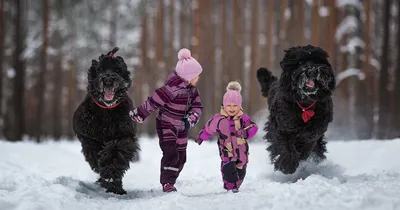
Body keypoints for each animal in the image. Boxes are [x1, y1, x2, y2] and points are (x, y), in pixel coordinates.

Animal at [72, 46, 140, 194]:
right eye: (100, 69)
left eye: (117, 70)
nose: (108, 79)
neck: (107, 111)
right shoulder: (88, 136)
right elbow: (94, 153)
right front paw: (106, 175)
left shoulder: (125, 135)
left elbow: (116, 150)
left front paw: (111, 172)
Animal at [256, 45, 334, 175]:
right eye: (300, 62)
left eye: (316, 60)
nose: (312, 71)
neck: (304, 105)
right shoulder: (281, 128)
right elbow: (285, 146)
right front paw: (288, 165)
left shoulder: (315, 131)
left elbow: (309, 143)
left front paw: (301, 156)